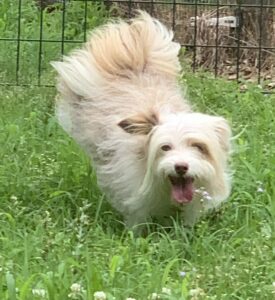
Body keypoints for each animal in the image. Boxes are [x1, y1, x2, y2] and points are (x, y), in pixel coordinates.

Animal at [52, 11, 233, 227]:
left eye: (198, 146)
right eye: (165, 147)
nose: (181, 166)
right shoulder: (134, 189)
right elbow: (137, 219)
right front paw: (134, 234)